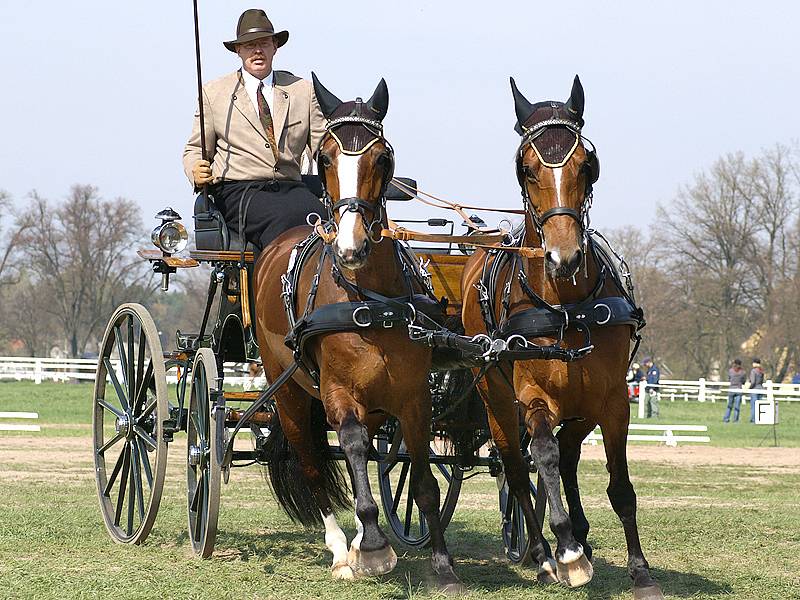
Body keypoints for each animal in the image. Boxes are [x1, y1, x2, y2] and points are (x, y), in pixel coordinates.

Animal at [253, 72, 466, 592]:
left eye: (383, 158)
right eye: (325, 158)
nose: (352, 248)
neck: (371, 305)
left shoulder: (414, 396)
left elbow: (423, 482)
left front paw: (443, 566)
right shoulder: (337, 393)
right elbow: (347, 446)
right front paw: (370, 547)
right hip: (289, 394)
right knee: (313, 462)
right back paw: (340, 550)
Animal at [462, 77, 664, 596]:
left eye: (586, 167)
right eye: (526, 169)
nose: (563, 257)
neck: (567, 304)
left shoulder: (612, 399)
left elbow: (620, 486)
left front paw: (639, 570)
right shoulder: (533, 397)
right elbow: (544, 457)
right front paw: (567, 551)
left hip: (582, 404)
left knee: (570, 457)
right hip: (496, 400)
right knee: (518, 468)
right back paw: (544, 554)